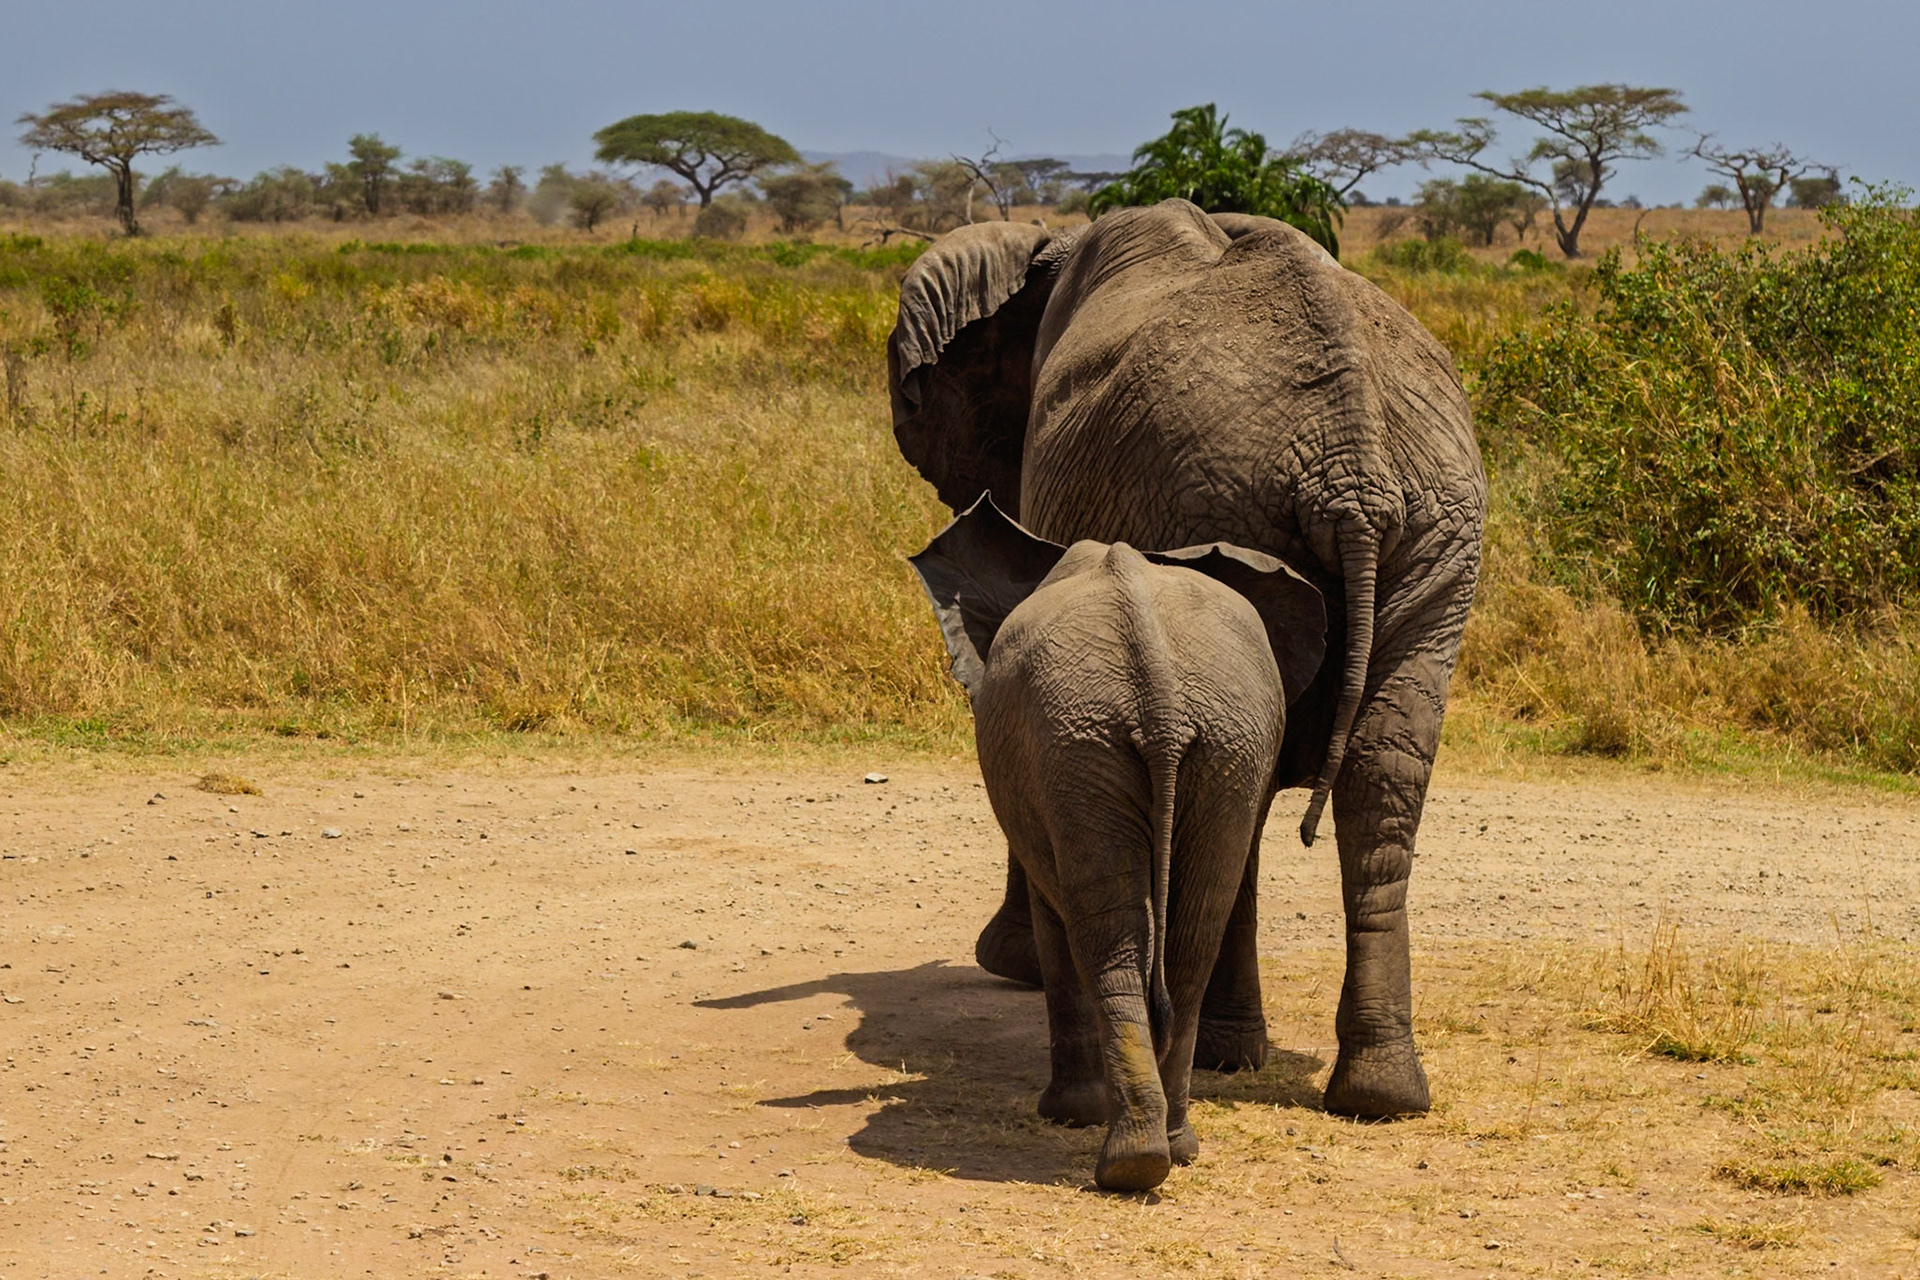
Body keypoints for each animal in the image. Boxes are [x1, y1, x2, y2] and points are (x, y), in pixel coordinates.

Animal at [888, 198, 1486, 1118]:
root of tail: (1351, 466)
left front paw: (1012, 964)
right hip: (1434, 523)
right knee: (1382, 767)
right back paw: (1379, 1092)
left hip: (1228, 501)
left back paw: (1232, 1056)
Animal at [910, 496, 1327, 1191]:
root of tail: (1161, 699)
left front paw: (1067, 1117)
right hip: (1209, 746)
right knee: (1185, 937)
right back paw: (1164, 1154)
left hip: (1087, 743)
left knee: (1108, 935)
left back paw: (1127, 1158)